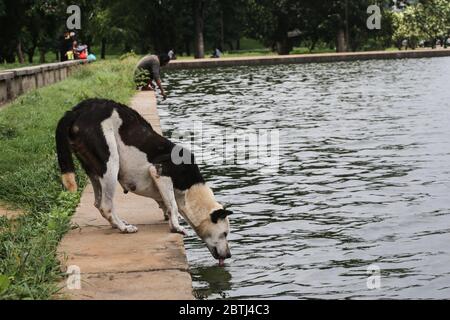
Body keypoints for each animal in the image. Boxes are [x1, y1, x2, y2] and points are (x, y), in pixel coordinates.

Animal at [55, 99, 232, 264]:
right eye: (225, 233)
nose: (229, 255)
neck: (191, 190)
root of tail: (77, 110)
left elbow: (167, 204)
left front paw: (169, 220)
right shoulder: (160, 172)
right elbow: (173, 205)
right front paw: (176, 227)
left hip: (94, 170)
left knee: (98, 203)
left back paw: (117, 223)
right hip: (110, 163)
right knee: (106, 205)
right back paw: (124, 228)